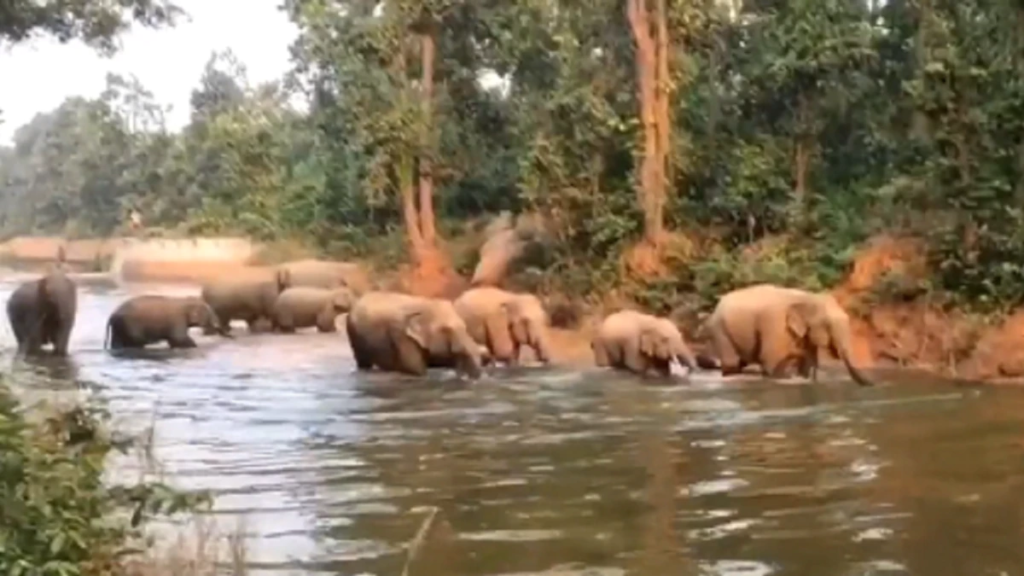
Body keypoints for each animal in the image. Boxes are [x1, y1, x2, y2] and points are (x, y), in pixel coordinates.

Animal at [348, 289, 483, 379]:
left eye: (465, 326)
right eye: (446, 329)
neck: (426, 303)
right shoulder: (401, 335)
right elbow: (415, 370)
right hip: (354, 334)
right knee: (363, 362)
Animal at [700, 282, 876, 385]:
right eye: (827, 324)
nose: (874, 383)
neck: (807, 296)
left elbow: (808, 363)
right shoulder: (774, 324)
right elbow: (770, 360)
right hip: (720, 331)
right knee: (731, 363)